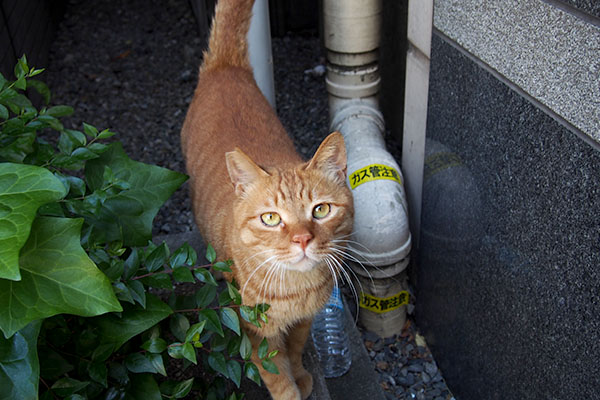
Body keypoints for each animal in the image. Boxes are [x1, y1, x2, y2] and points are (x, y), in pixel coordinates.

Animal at [180, 0, 354, 396]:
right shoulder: (256, 332)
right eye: (271, 218)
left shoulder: (304, 321)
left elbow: (297, 349)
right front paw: (293, 389)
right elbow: (279, 379)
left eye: (321, 210)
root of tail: (225, 67)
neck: (297, 290)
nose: (302, 240)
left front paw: (302, 374)